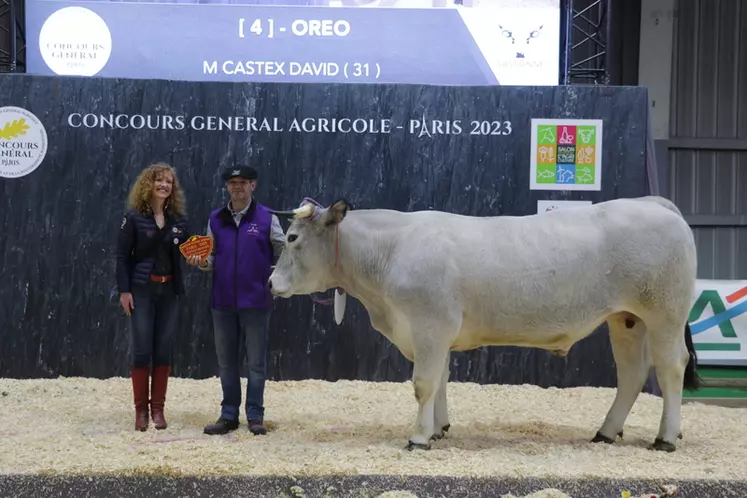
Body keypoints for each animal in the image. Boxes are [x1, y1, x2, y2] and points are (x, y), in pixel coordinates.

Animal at [268, 196, 700, 454]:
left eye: (292, 237)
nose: (270, 283)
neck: (389, 252)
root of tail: (653, 202)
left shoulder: (430, 325)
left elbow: (423, 383)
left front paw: (419, 438)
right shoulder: (438, 333)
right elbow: (441, 380)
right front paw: (438, 428)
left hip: (664, 314)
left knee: (670, 368)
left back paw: (665, 438)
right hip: (626, 320)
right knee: (632, 373)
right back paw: (606, 432)